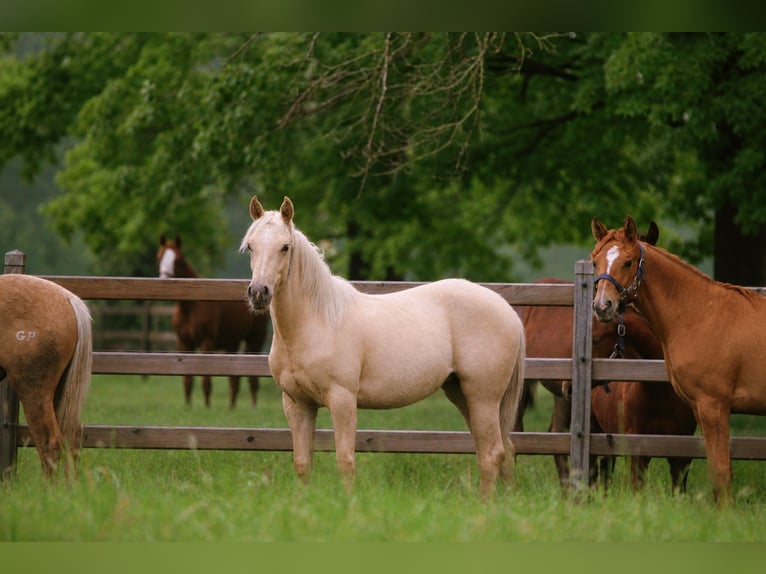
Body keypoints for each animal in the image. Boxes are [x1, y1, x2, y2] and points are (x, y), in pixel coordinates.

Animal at [157, 235, 269, 408]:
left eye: (179, 259)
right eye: (159, 257)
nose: (164, 282)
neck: (191, 306)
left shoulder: (206, 342)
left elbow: (206, 381)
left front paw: (207, 408)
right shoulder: (183, 343)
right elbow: (187, 381)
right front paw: (188, 408)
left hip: (255, 340)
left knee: (252, 380)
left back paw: (253, 408)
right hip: (232, 344)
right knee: (234, 379)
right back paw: (231, 408)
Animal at [240, 196, 526, 498]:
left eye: (285, 246)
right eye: (251, 246)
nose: (258, 293)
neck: (317, 321)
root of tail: (506, 309)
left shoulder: (342, 400)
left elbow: (345, 460)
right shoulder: (297, 404)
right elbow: (303, 463)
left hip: (483, 397)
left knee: (492, 453)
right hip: (462, 393)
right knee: (502, 451)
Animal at [591, 215, 766, 504]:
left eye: (627, 262)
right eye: (595, 262)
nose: (602, 306)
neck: (700, 314)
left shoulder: (713, 407)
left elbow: (720, 471)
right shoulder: (700, 411)